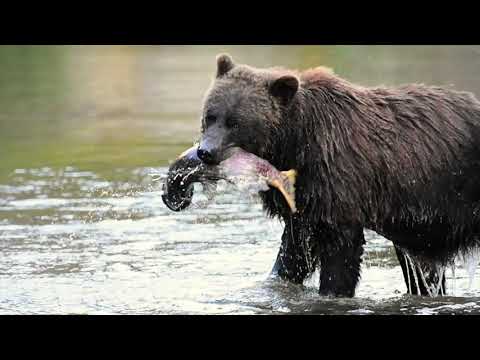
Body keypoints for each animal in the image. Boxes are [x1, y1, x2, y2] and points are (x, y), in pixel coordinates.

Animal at [162, 52, 480, 296]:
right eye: (210, 115)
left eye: (236, 123)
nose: (205, 151)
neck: (293, 143)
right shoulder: (305, 199)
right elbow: (294, 251)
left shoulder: (338, 180)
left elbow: (341, 251)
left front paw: (333, 290)